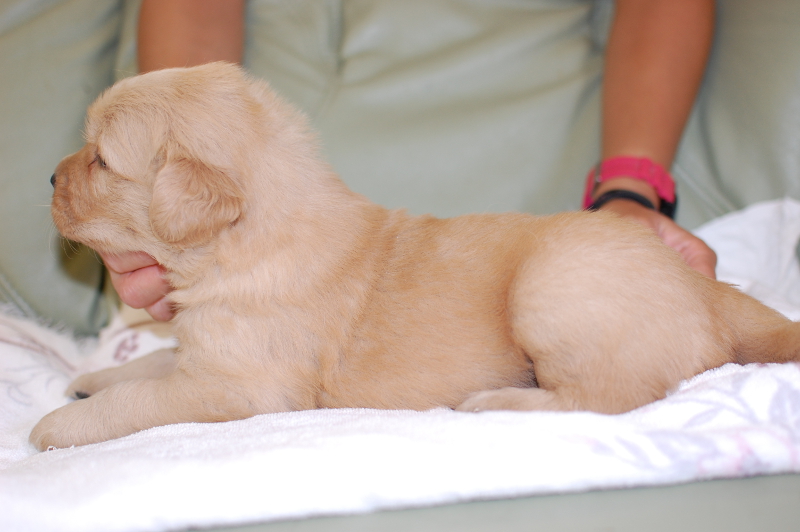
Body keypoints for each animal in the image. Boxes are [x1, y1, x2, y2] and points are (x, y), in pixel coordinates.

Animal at [29, 64, 800, 450]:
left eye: (100, 160)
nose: (48, 179)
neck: (248, 240)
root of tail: (711, 293)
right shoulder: (208, 350)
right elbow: (153, 364)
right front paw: (92, 381)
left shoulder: (242, 386)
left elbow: (143, 398)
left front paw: (57, 425)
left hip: (552, 289)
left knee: (611, 398)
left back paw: (497, 401)